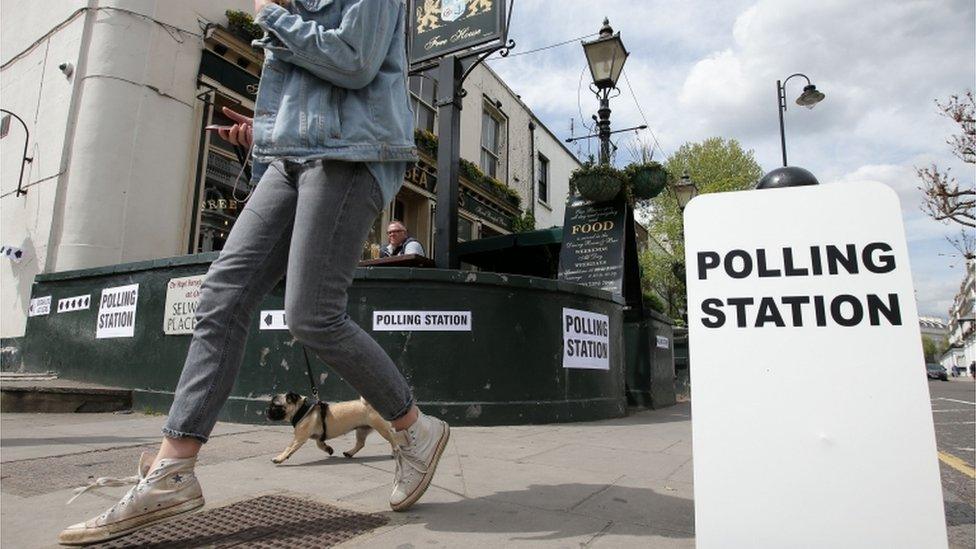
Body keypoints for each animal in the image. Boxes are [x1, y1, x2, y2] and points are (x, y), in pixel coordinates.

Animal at [266, 392, 396, 464]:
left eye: (275, 406)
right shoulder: (319, 437)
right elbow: (319, 444)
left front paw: (279, 458)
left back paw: (395, 452)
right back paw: (349, 453)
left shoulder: (299, 438)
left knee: (393, 440)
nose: (267, 411)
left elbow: (288, 448)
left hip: (381, 428)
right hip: (361, 430)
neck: (302, 410)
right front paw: (328, 449)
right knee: (360, 444)